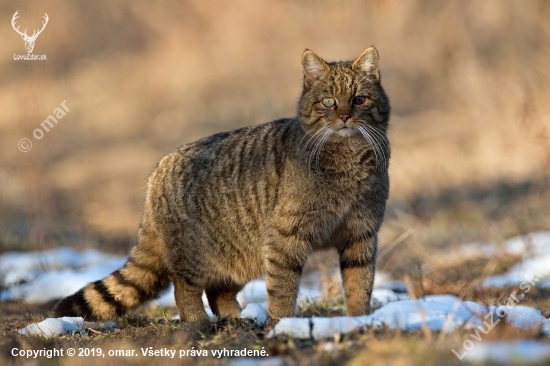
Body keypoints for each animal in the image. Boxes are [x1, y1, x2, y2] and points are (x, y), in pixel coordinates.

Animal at [52, 46, 392, 324]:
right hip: (198, 256)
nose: (345, 115)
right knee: (184, 288)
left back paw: (237, 317)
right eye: (328, 101)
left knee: (218, 292)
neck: (347, 161)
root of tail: (158, 169)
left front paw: (359, 321)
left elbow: (360, 284)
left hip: (242, 254)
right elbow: (283, 288)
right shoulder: (285, 238)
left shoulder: (362, 233)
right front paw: (282, 324)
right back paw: (198, 321)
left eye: (359, 99)